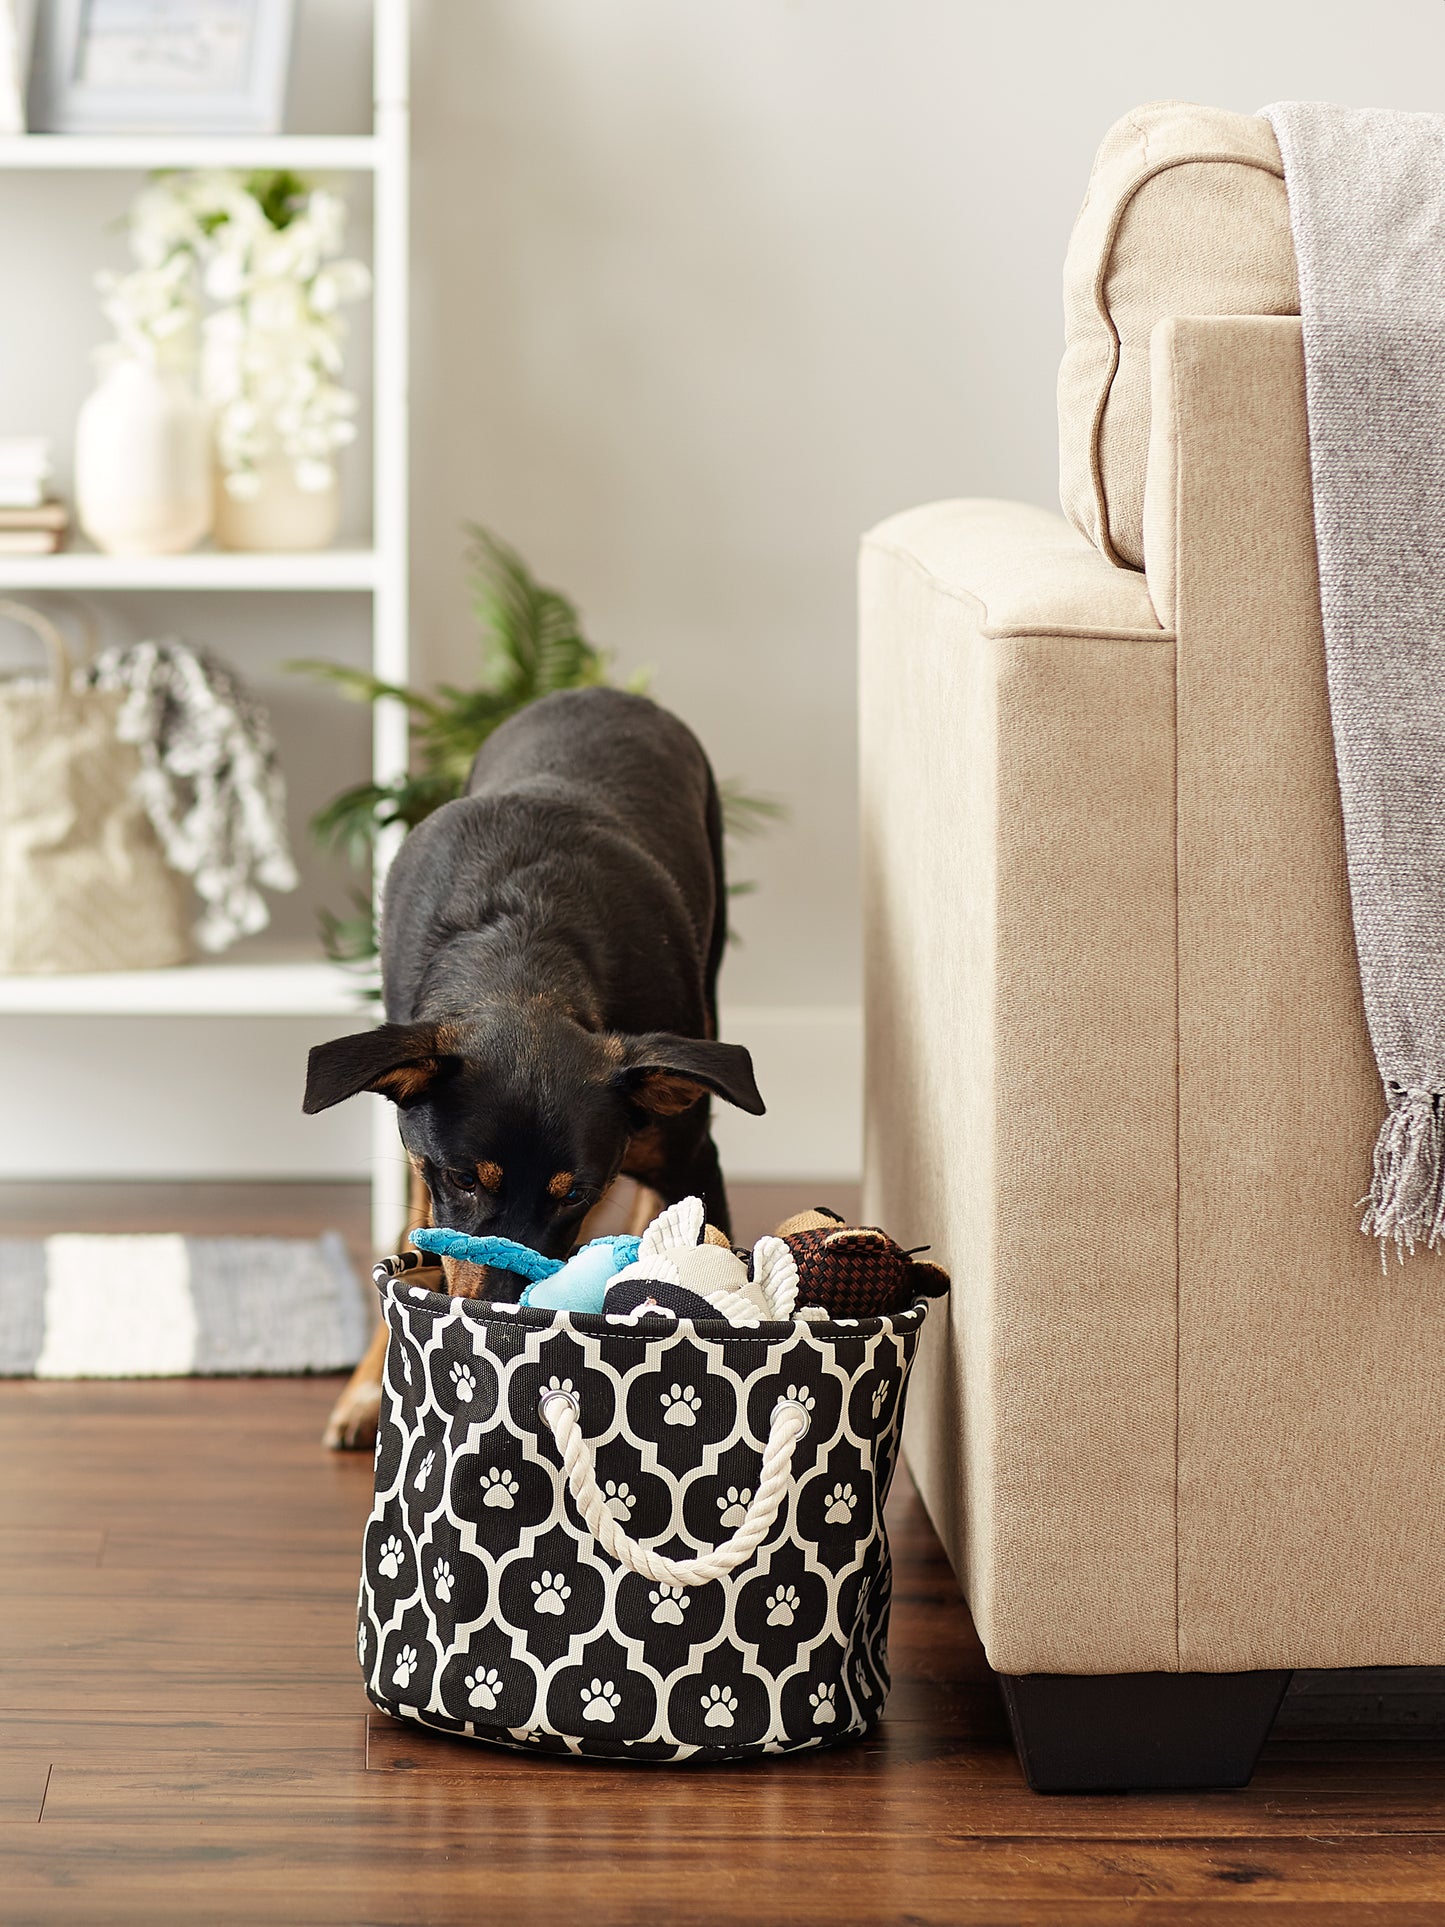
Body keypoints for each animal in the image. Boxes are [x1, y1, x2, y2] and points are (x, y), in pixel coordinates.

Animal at [300, 689, 762, 1449]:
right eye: (463, 1179)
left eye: (577, 1195)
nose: (503, 1318)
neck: (521, 958)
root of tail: (601, 692)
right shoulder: (421, 1158)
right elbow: (415, 1236)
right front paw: (371, 1384)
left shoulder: (694, 1154)